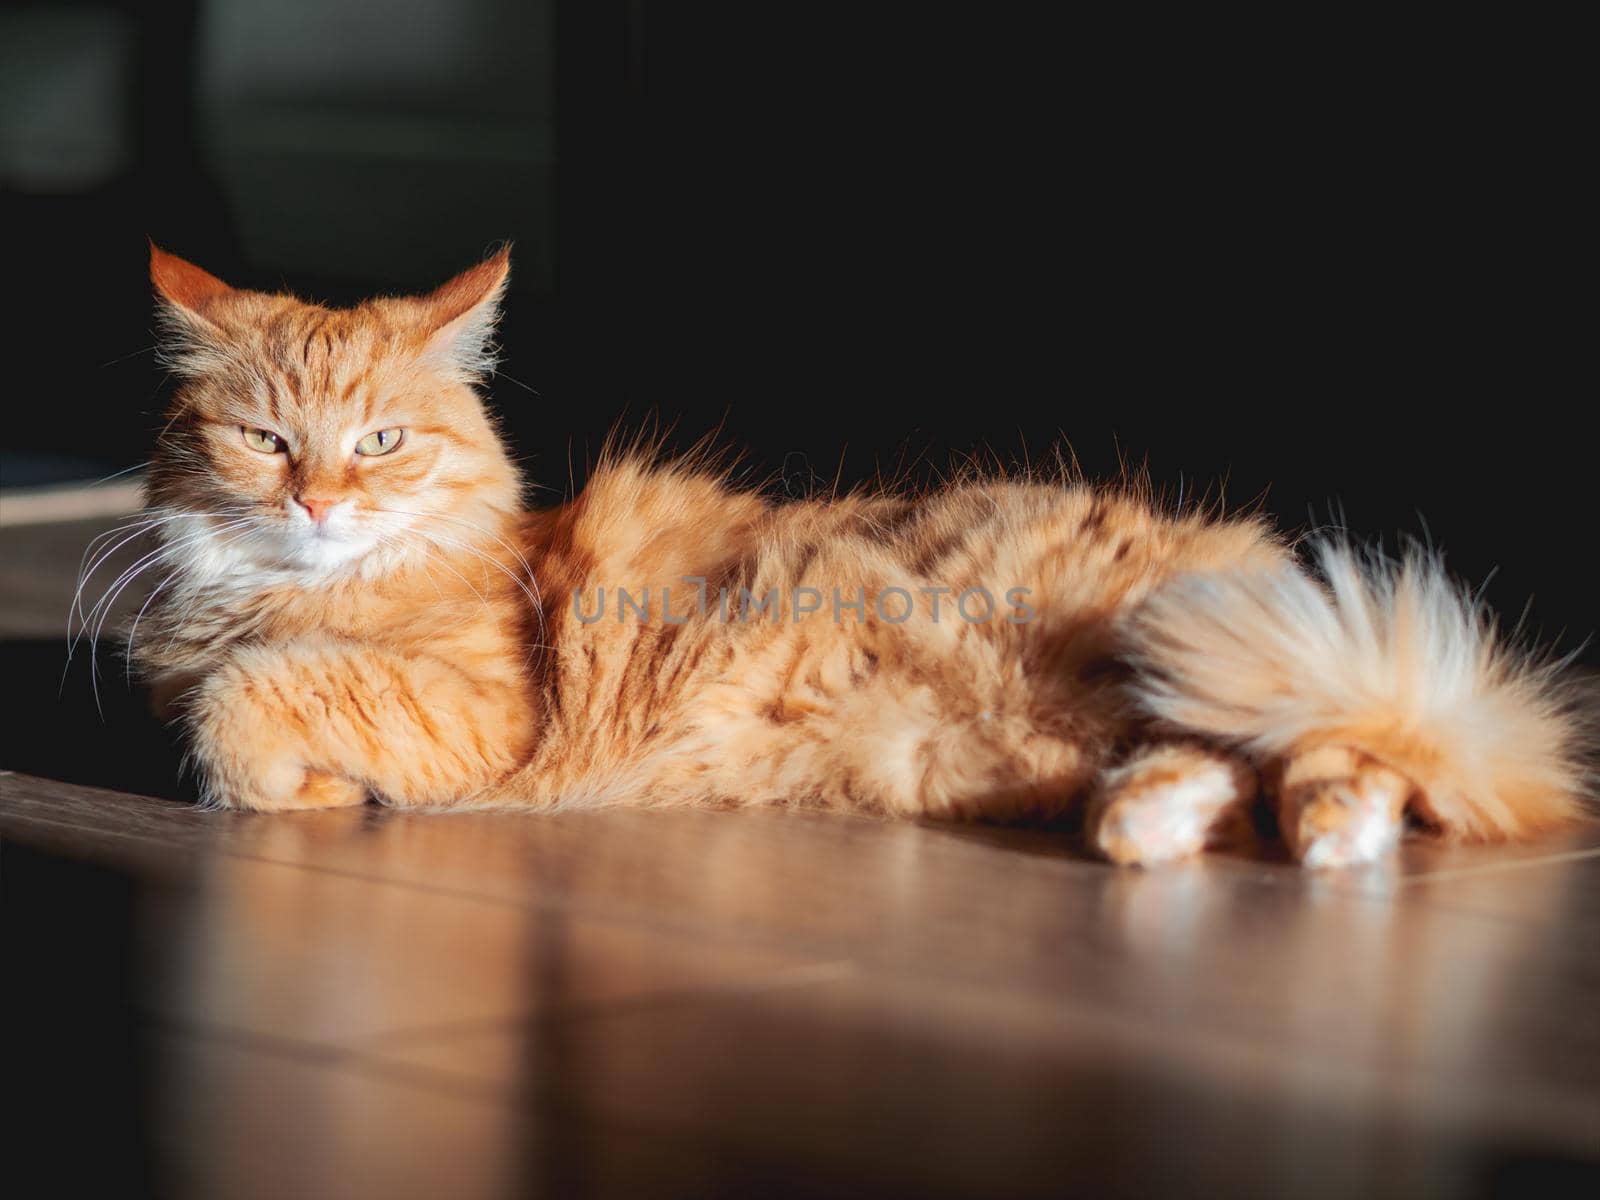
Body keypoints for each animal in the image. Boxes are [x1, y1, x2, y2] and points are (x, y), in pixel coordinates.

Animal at [106, 246, 1580, 864]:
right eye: (264, 440)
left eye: (383, 442)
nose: (316, 506)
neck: (285, 592)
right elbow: (239, 694)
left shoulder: (483, 712)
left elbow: (257, 701)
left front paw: (287, 788)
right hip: (1173, 696)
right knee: (1268, 768)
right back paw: (1158, 828)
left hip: (1210, 659)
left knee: (1355, 757)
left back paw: (1318, 841)